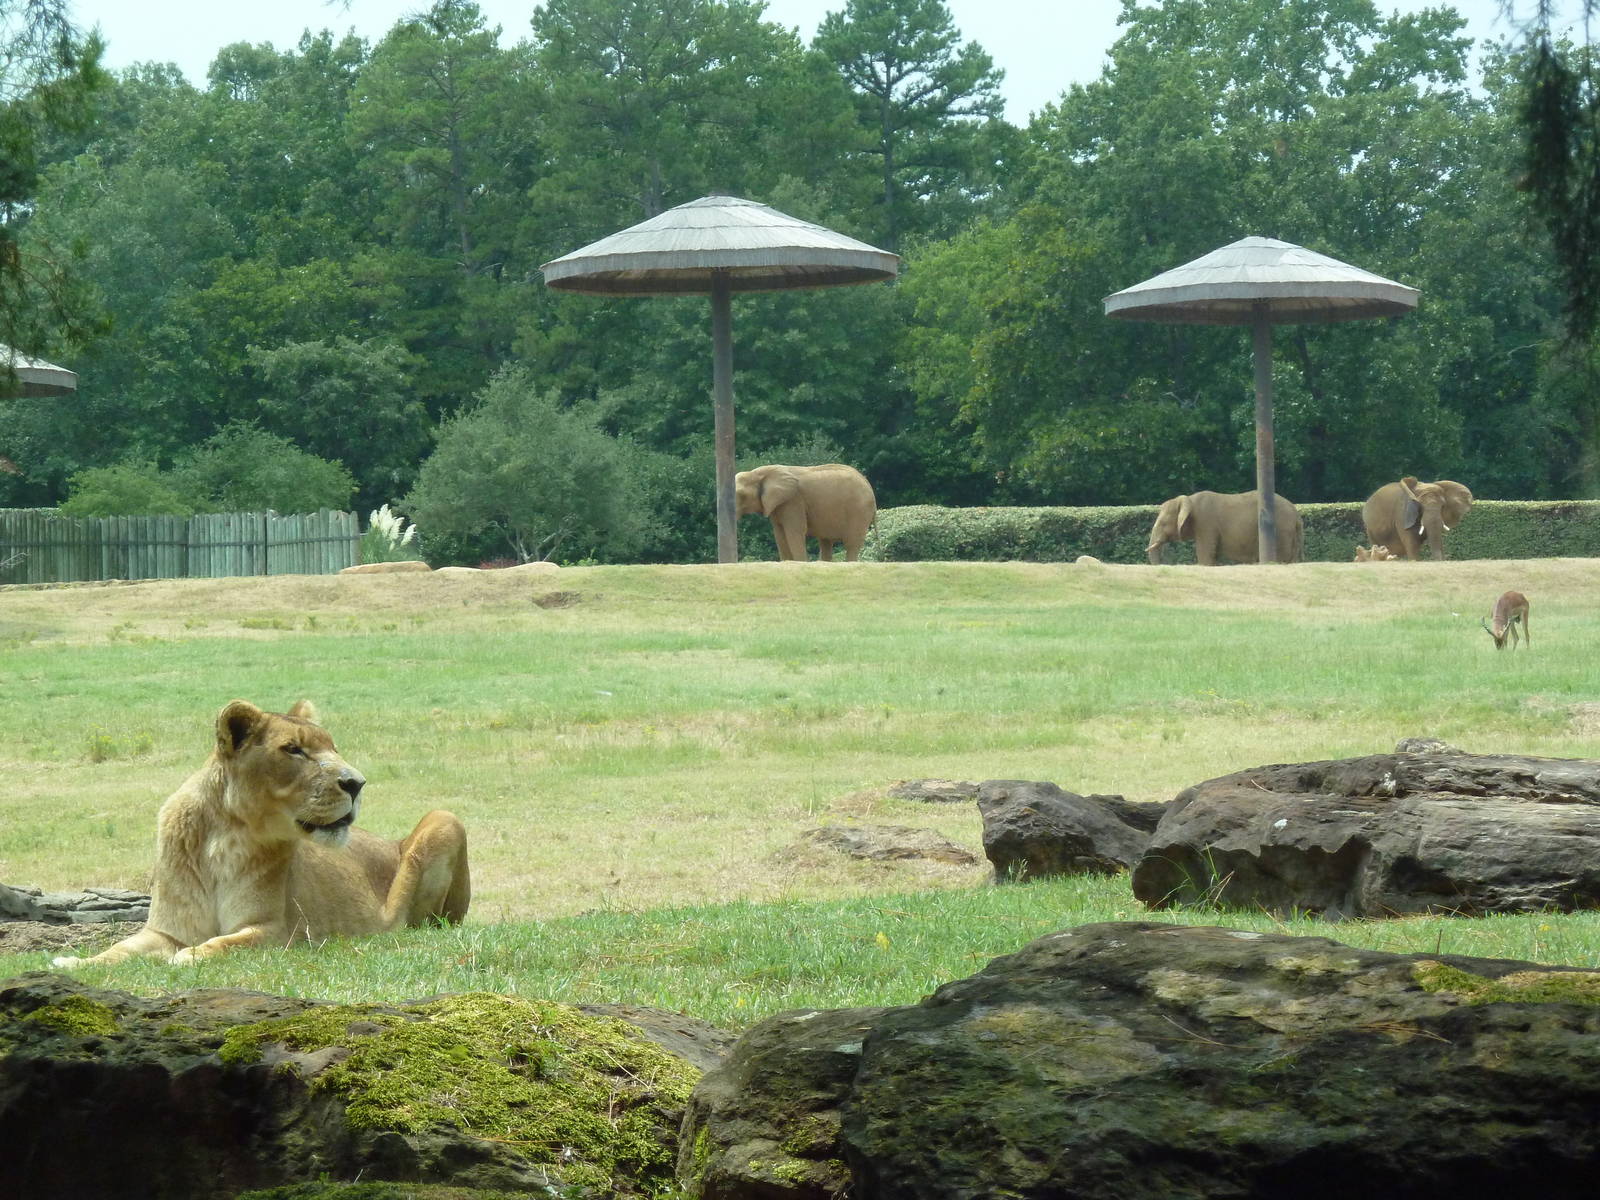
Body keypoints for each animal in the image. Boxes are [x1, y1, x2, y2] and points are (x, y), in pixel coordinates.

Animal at [53, 700, 469, 967]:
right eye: (294, 749)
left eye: (333, 748)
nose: (357, 783)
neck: (223, 837)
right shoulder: (165, 931)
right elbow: (119, 950)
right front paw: (74, 962)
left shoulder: (277, 932)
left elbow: (227, 943)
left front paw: (192, 954)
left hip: (444, 819)